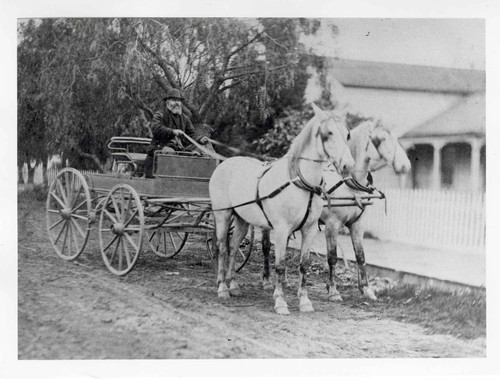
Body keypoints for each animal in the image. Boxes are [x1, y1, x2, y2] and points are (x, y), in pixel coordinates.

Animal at [210, 104, 356, 314]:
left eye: (347, 134)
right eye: (328, 133)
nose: (348, 165)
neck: (300, 183)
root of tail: (225, 163)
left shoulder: (309, 229)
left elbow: (304, 264)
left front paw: (305, 301)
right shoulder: (280, 230)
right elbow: (279, 265)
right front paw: (280, 301)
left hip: (242, 220)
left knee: (234, 247)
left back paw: (233, 285)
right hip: (223, 215)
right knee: (222, 248)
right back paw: (222, 288)